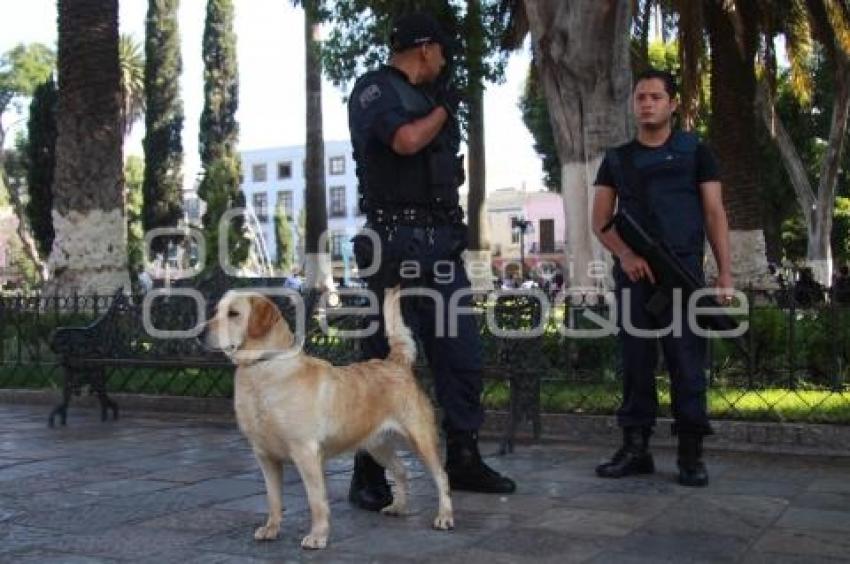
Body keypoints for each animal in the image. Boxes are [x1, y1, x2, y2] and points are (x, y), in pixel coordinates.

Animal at [205, 286, 454, 548]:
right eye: (216, 311)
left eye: (234, 314)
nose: (200, 333)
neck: (262, 368)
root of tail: (396, 363)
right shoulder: (264, 456)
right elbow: (273, 499)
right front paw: (271, 529)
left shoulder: (305, 452)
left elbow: (316, 501)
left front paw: (317, 536)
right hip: (378, 445)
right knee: (401, 470)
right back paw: (399, 506)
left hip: (421, 440)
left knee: (442, 477)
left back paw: (444, 517)